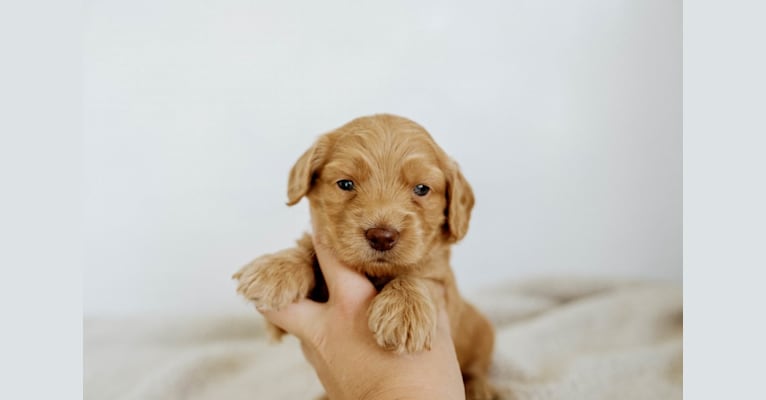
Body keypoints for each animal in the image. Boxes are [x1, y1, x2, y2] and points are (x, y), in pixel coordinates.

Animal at [234, 114, 498, 398]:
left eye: (421, 189)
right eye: (345, 184)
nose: (381, 236)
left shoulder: (443, 282)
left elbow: (419, 273)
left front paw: (404, 312)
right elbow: (307, 249)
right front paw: (276, 270)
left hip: (483, 335)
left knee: (476, 370)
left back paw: (478, 388)